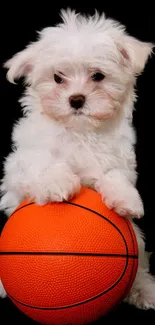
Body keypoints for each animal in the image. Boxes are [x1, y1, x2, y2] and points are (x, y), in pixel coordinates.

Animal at [0, 8, 155, 310]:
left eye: (98, 76)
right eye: (58, 78)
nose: (76, 99)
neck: (79, 132)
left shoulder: (119, 159)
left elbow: (115, 174)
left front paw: (126, 199)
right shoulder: (18, 168)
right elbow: (42, 164)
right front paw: (58, 183)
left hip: (139, 245)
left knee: (139, 263)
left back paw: (143, 289)